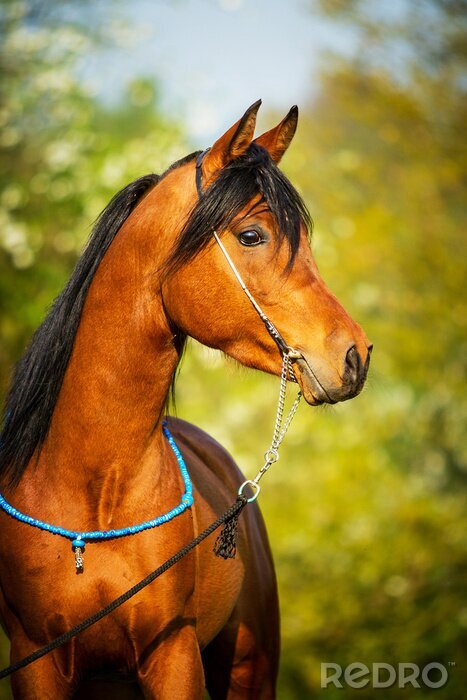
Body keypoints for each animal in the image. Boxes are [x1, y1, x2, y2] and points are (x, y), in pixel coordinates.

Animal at [0, 101, 372, 696]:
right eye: (251, 235)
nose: (355, 355)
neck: (91, 496)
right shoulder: (35, 660)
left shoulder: (172, 653)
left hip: (250, 667)